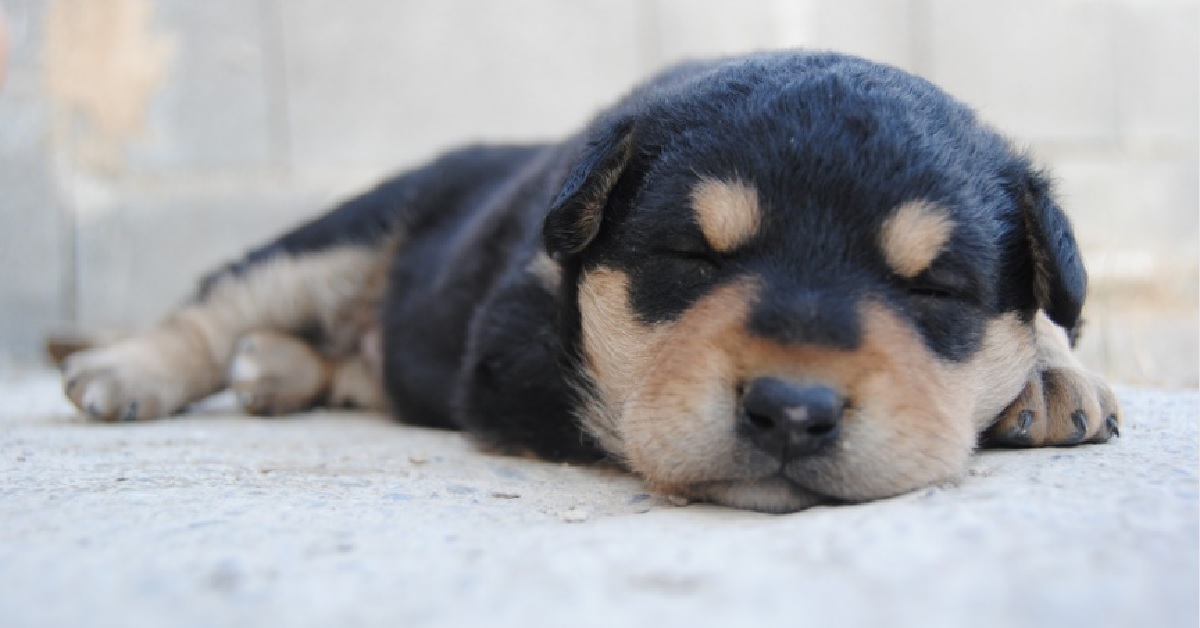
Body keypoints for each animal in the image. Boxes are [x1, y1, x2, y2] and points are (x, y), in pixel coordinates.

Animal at [60, 51, 1118, 513]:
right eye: (693, 259)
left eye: (935, 289)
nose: (792, 412)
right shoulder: (517, 352)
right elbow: (625, 402)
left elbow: (1053, 315)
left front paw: (1052, 371)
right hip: (347, 231)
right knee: (223, 301)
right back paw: (126, 372)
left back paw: (272, 372)